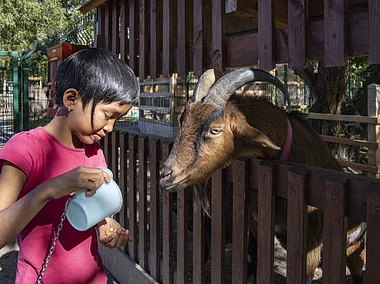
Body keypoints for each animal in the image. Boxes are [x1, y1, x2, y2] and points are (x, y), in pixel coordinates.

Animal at [159, 67, 366, 282]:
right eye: (183, 121)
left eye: (215, 129)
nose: (165, 175)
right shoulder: (255, 223)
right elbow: (252, 258)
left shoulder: (311, 238)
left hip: (353, 248)